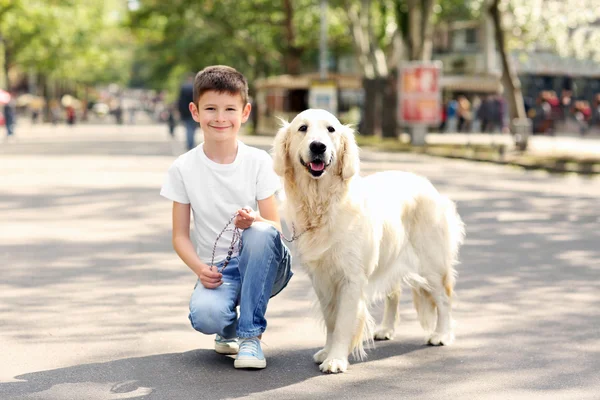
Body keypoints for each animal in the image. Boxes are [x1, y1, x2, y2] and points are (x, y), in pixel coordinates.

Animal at [272, 108, 464, 372]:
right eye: (302, 128)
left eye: (331, 129)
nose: (318, 146)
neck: (323, 203)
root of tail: (427, 184)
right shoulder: (321, 278)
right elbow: (331, 319)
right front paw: (327, 351)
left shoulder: (351, 278)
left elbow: (343, 322)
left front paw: (336, 359)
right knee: (394, 294)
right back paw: (386, 329)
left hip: (431, 263)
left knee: (444, 298)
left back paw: (441, 335)